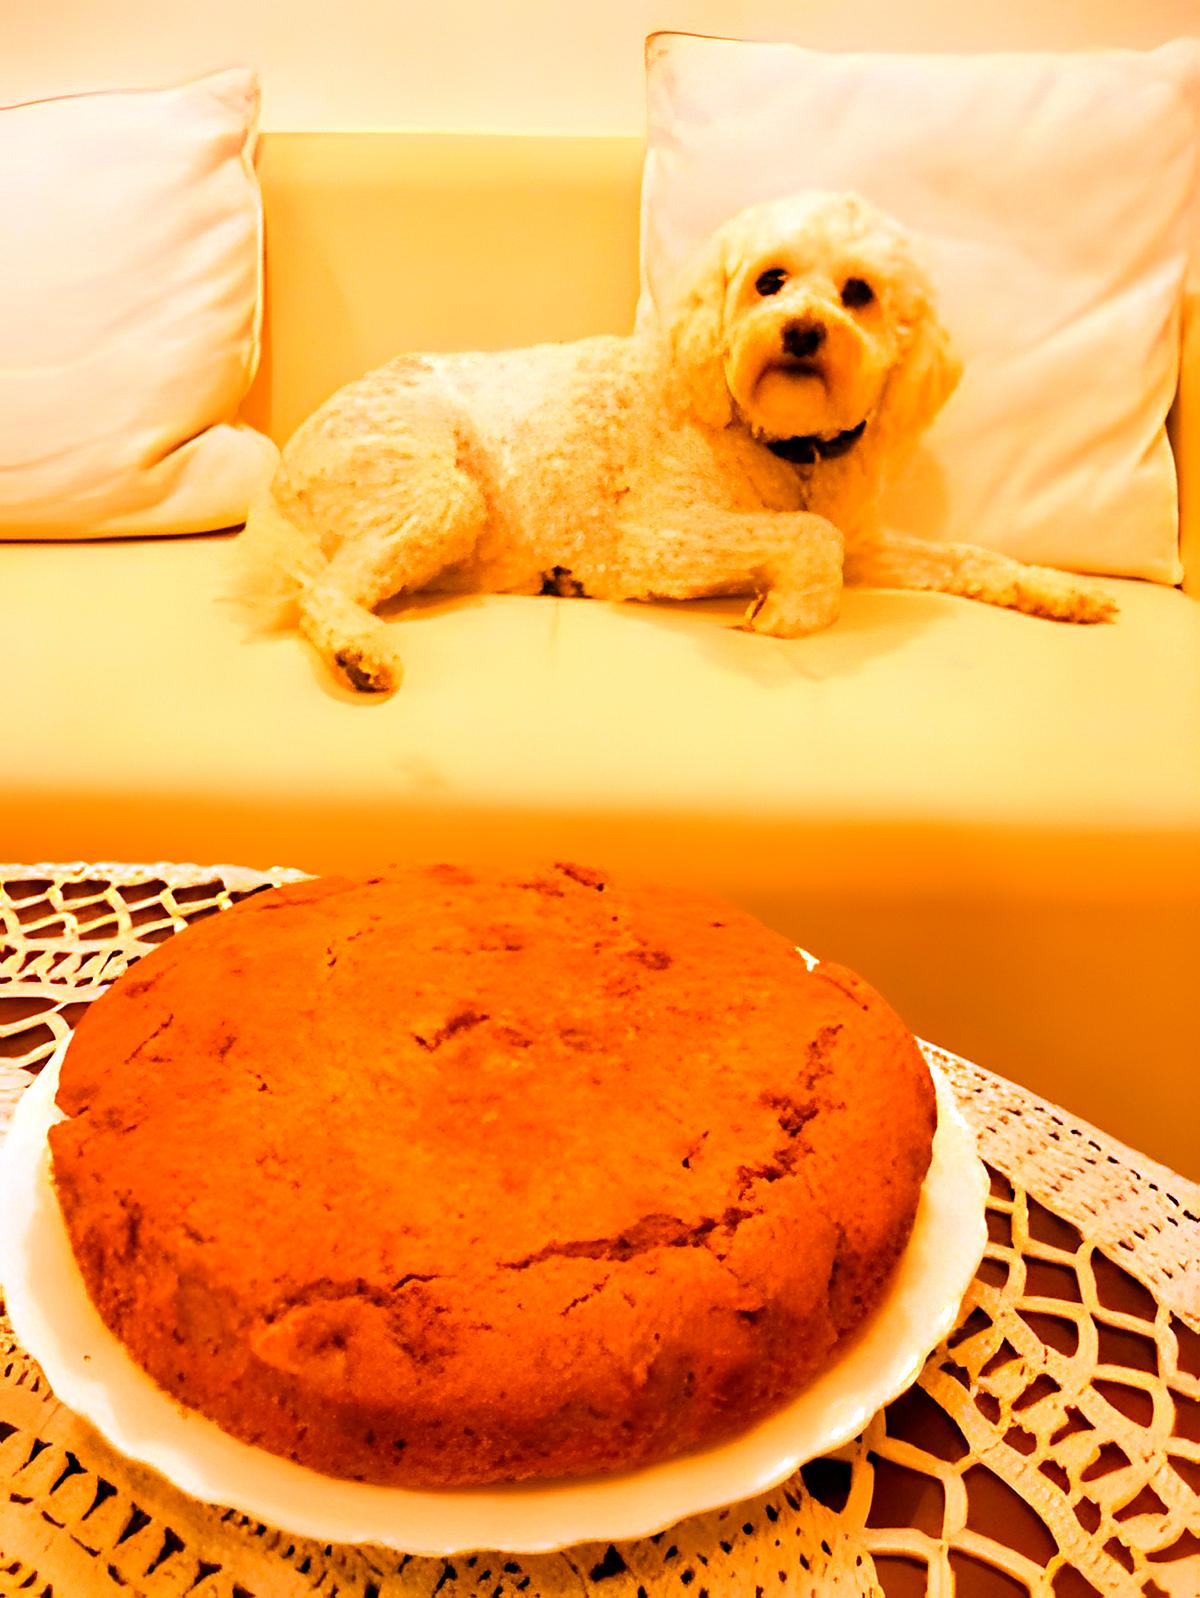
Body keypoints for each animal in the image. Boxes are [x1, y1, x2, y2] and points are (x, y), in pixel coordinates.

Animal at [241, 190, 1118, 690]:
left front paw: (1059, 590)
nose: (802, 332)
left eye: (858, 293)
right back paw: (360, 651)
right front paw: (790, 613)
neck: (782, 446)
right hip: (441, 494)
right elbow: (810, 538)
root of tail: (279, 484)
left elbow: (965, 557)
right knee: (323, 591)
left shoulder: (866, 539)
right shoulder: (656, 541)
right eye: (770, 280)